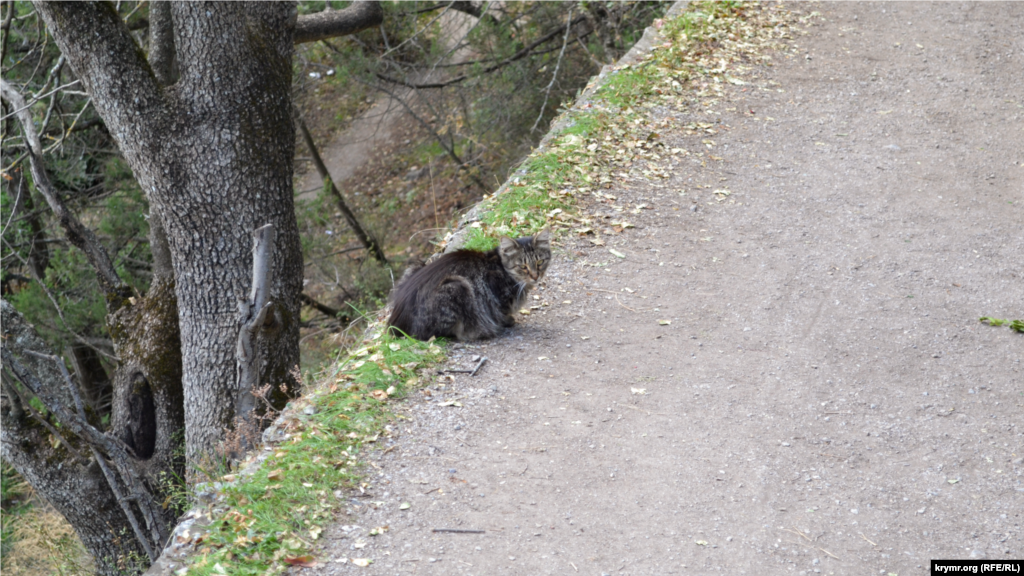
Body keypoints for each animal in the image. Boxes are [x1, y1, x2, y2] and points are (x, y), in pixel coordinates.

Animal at [387, 226, 552, 338]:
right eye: (523, 267)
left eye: (540, 262)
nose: (536, 276)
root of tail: (395, 324)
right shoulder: (497, 296)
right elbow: (501, 312)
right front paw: (507, 321)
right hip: (457, 285)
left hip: (414, 267)